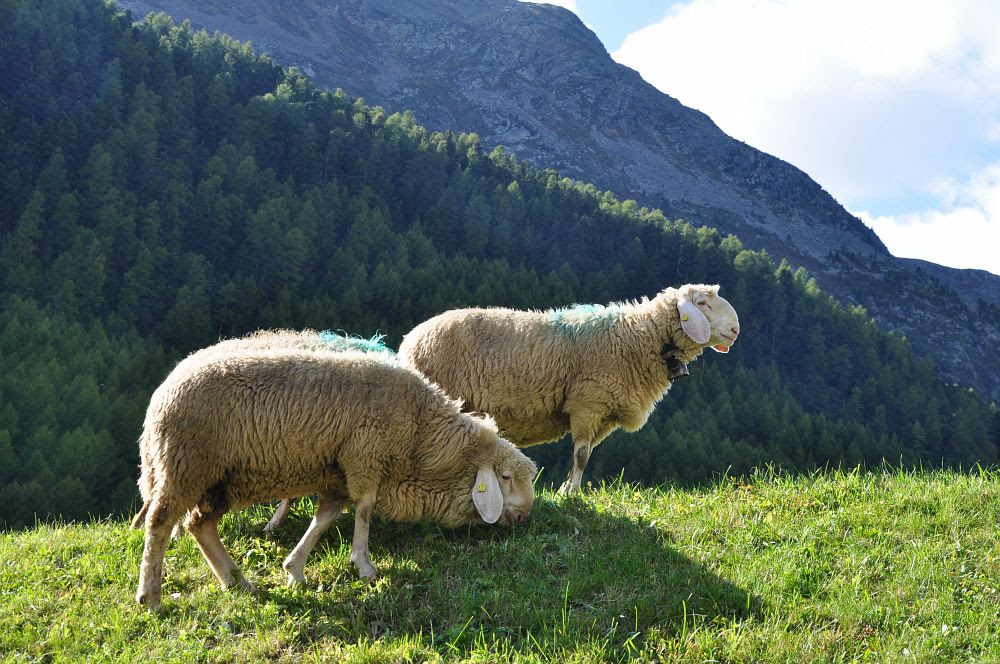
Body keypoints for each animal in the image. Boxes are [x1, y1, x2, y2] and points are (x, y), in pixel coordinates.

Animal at [131, 346, 537, 611]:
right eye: (504, 477)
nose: (523, 517)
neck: (422, 436)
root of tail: (160, 395)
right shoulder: (365, 456)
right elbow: (365, 509)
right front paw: (364, 566)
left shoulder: (338, 473)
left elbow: (325, 517)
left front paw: (294, 569)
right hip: (185, 465)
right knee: (160, 522)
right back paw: (151, 597)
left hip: (220, 479)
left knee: (200, 525)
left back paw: (236, 580)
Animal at [398, 284, 740, 494]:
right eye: (701, 303)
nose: (736, 329)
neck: (638, 336)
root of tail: (409, 341)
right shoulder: (588, 402)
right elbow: (581, 455)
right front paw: (573, 494)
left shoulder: (605, 414)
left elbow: (585, 454)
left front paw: (565, 488)